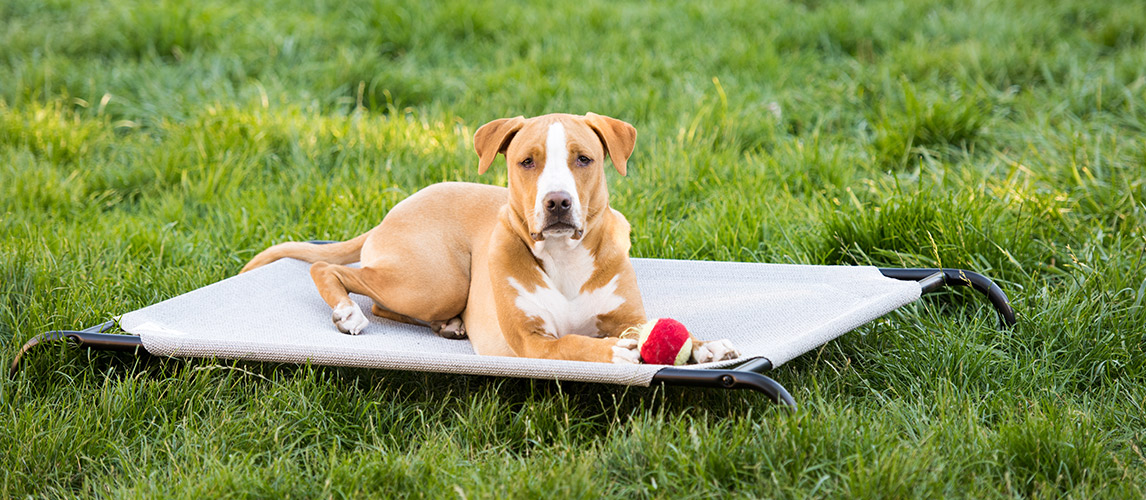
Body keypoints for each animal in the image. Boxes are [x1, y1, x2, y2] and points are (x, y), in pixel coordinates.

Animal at [244, 112, 742, 362]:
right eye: (527, 161)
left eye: (583, 159)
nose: (558, 202)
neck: (563, 256)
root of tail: (396, 208)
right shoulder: (532, 342)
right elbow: (573, 343)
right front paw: (615, 352)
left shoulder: (627, 315)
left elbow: (659, 326)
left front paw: (705, 345)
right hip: (436, 281)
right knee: (332, 270)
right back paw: (347, 311)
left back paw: (449, 325)